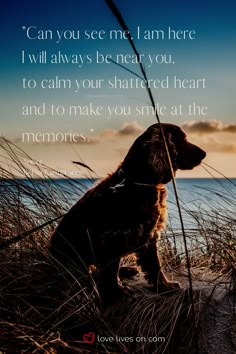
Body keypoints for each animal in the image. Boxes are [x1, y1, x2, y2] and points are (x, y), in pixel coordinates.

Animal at [49, 123, 205, 300]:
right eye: (182, 139)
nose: (204, 153)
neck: (137, 181)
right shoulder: (113, 237)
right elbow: (111, 270)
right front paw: (116, 291)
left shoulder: (150, 234)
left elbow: (154, 265)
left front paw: (164, 285)